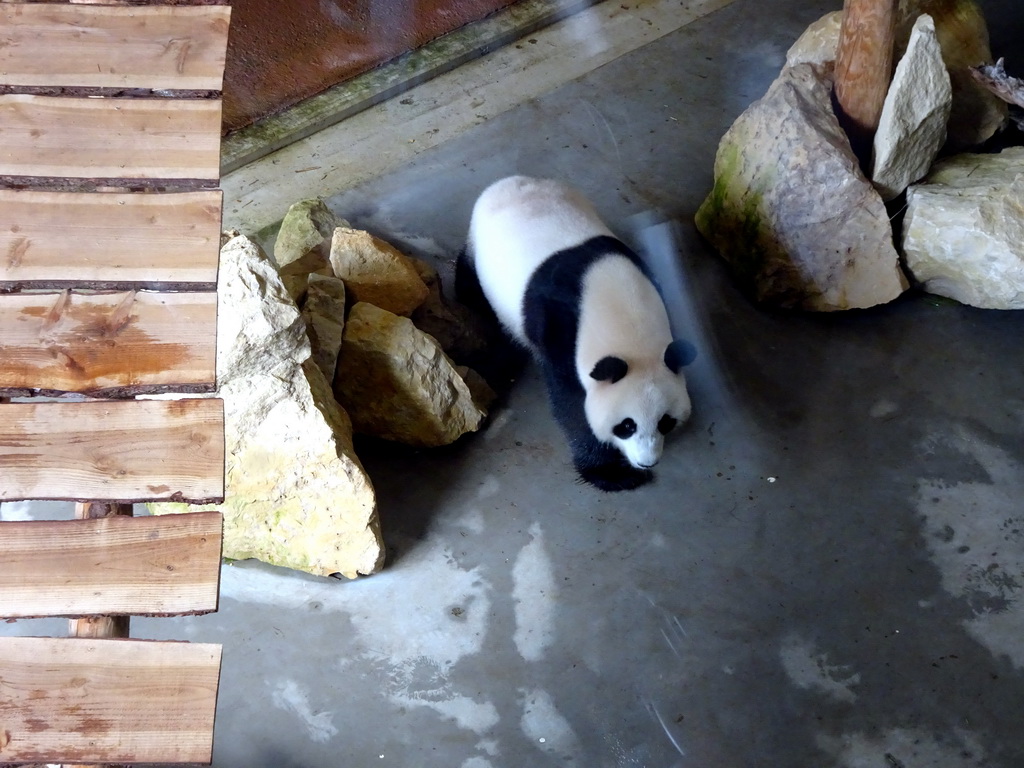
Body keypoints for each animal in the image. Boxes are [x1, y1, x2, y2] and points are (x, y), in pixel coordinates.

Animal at [464, 176, 696, 493]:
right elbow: (571, 405)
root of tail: (510, 181)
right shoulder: (561, 333)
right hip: (477, 248)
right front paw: (614, 474)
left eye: (665, 422)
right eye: (627, 425)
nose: (647, 462)